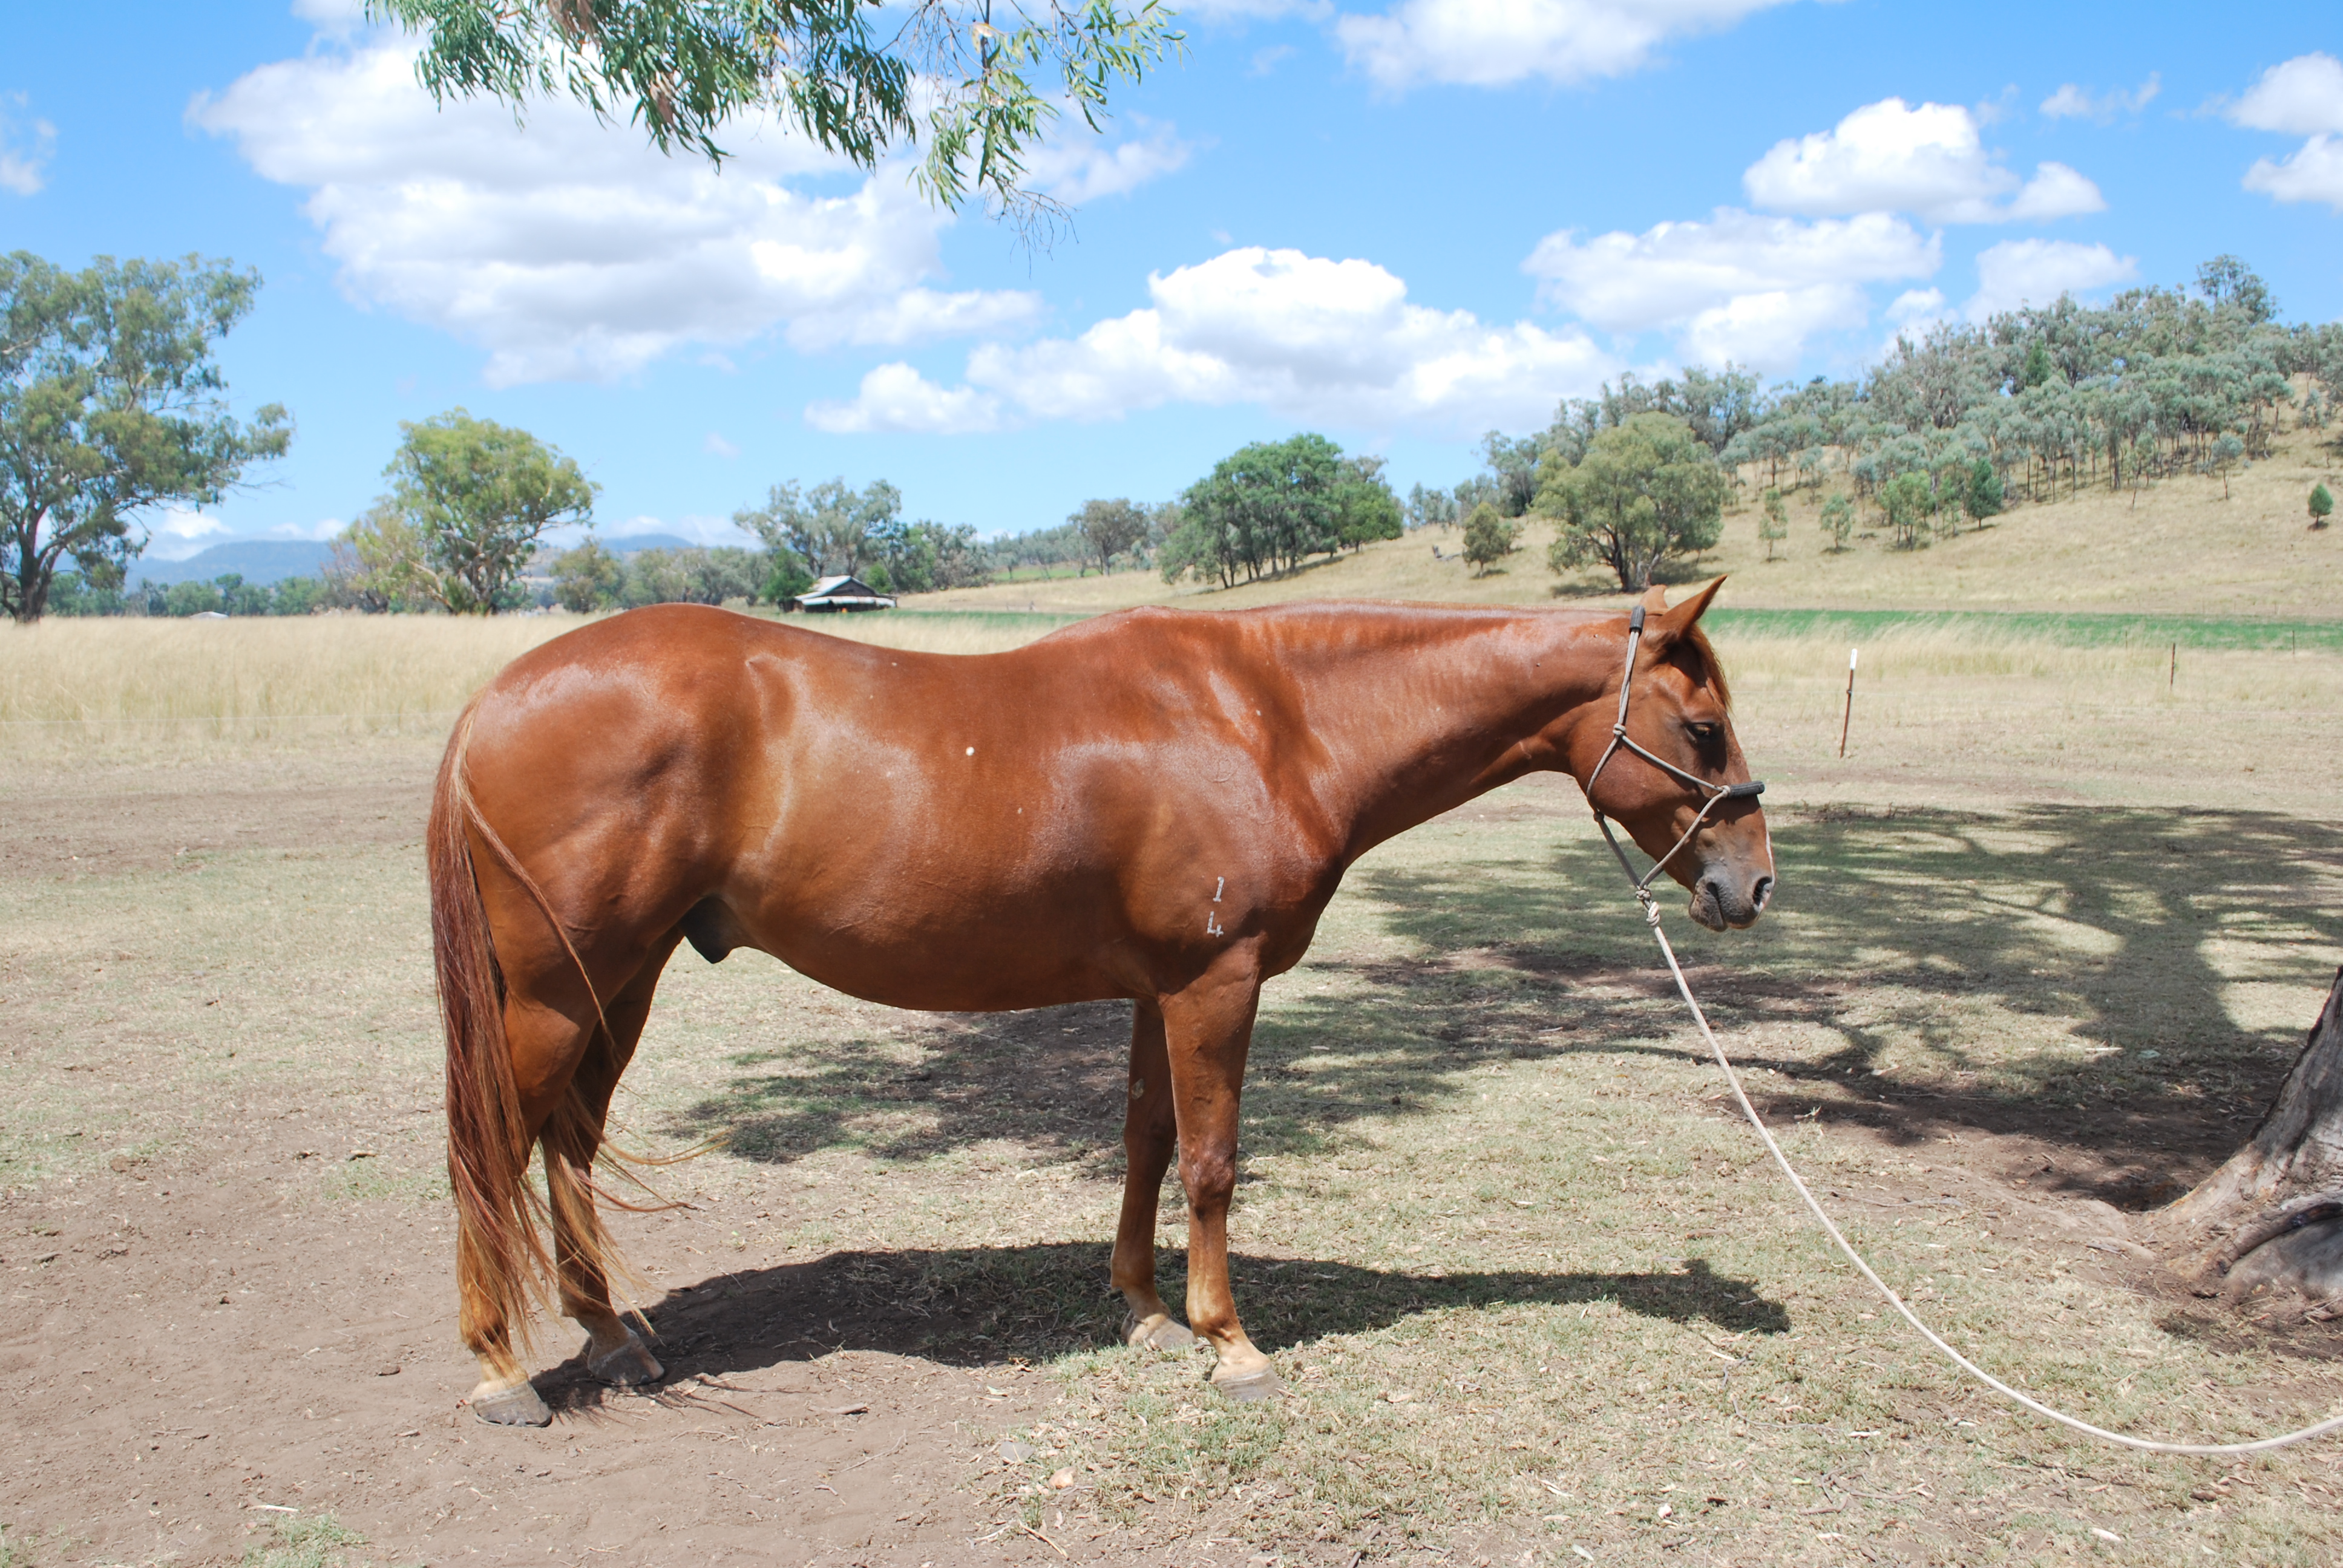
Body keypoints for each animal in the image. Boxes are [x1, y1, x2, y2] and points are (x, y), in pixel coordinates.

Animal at [428, 579, 1773, 1426]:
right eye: (1703, 729)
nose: (1750, 884)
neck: (1267, 717)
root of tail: (494, 697)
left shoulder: (1155, 989)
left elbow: (1145, 1139)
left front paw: (1143, 1310)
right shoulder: (1214, 983)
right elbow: (1215, 1159)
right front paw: (1231, 1346)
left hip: (623, 978)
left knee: (568, 1142)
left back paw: (612, 1336)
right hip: (557, 991)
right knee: (491, 1148)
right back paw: (499, 1373)